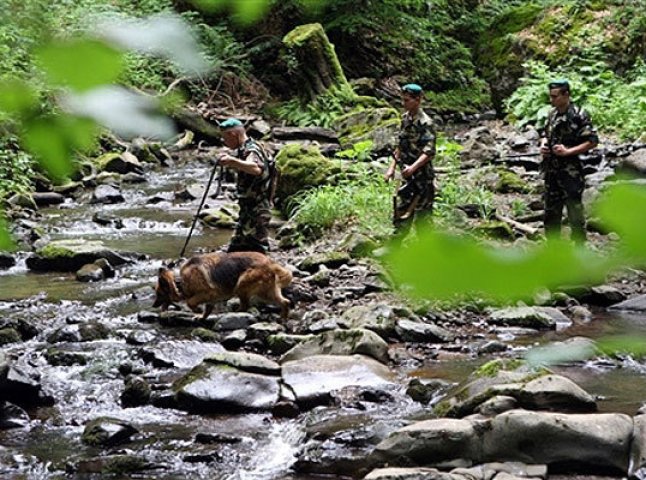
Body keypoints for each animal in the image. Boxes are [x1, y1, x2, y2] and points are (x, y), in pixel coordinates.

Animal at [153, 251, 292, 318]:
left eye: (159, 294)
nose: (153, 306)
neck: (179, 282)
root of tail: (270, 263)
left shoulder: (207, 293)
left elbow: (190, 302)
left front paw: (197, 310)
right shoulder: (211, 298)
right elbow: (208, 309)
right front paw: (202, 317)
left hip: (241, 284)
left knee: (245, 305)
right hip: (266, 292)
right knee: (285, 302)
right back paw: (283, 318)